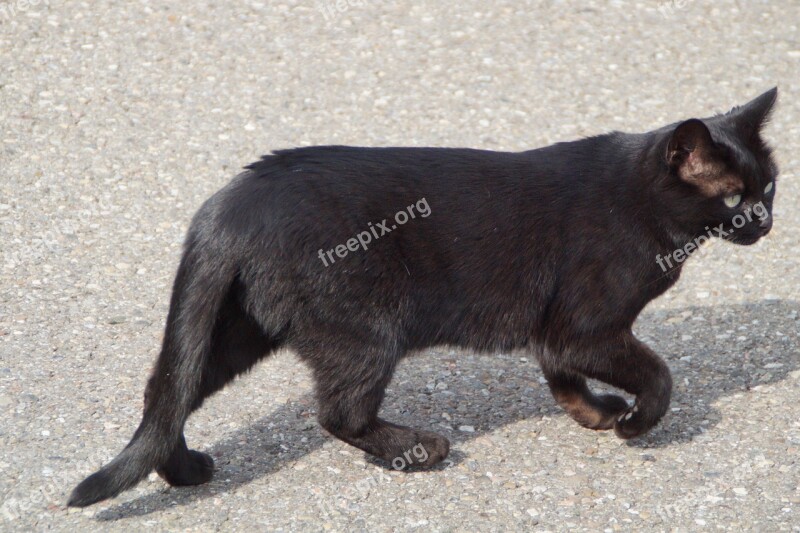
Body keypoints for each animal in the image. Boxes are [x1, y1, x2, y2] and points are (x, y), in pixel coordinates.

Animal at [70, 88, 780, 508]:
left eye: (770, 186)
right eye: (732, 197)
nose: (768, 223)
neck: (638, 198)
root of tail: (232, 201)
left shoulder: (558, 331)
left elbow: (564, 379)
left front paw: (598, 414)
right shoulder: (589, 326)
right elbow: (656, 372)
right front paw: (636, 423)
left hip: (238, 330)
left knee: (169, 392)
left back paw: (184, 471)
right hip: (365, 332)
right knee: (338, 414)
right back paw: (416, 450)